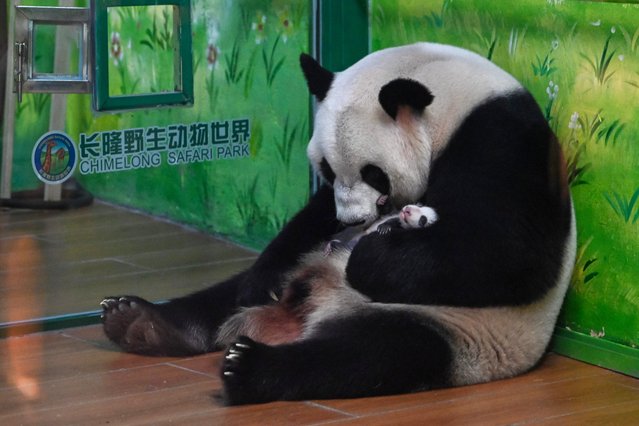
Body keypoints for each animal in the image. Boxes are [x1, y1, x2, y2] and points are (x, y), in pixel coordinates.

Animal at [102, 43, 576, 406]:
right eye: (327, 169)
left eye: (374, 174)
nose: (352, 223)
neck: (452, 98)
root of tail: (300, 315)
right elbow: (311, 216)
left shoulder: (502, 142)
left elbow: (506, 251)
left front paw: (371, 253)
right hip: (304, 269)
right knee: (227, 292)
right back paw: (141, 321)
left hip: (452, 328)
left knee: (371, 355)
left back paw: (247, 368)